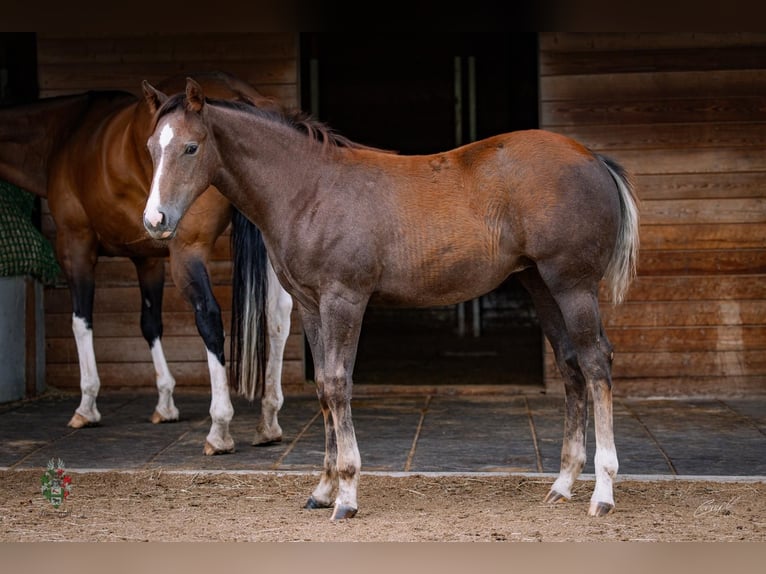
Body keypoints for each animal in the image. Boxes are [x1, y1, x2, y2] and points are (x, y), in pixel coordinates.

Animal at [0, 72, 293, 454]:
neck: (63, 133)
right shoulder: (146, 259)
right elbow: (151, 323)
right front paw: (165, 403)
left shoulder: (75, 245)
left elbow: (81, 322)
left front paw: (87, 405)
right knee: (278, 317)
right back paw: (269, 420)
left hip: (187, 253)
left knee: (210, 317)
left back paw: (219, 428)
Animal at [142, 78, 640, 520]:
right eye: (150, 148)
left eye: (191, 147)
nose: (154, 221)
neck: (309, 189)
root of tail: (595, 160)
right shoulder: (310, 305)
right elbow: (323, 387)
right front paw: (322, 490)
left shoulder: (345, 299)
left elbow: (338, 384)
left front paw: (346, 496)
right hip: (541, 285)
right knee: (570, 366)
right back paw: (563, 484)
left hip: (572, 286)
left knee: (596, 363)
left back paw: (603, 492)